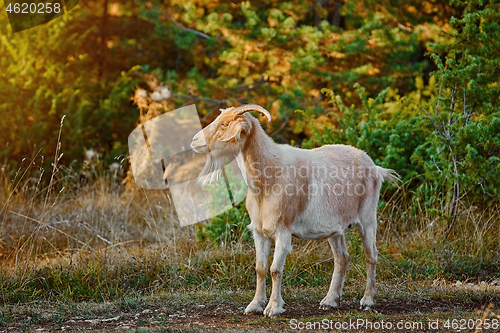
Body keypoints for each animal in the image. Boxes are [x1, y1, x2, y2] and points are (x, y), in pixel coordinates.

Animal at [190, 104, 398, 316]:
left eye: (224, 124)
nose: (194, 141)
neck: (268, 177)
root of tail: (376, 168)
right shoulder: (259, 231)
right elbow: (260, 268)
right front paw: (255, 305)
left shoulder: (283, 230)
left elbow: (275, 270)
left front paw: (273, 308)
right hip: (336, 229)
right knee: (342, 258)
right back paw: (330, 300)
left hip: (367, 219)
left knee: (371, 256)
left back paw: (367, 300)